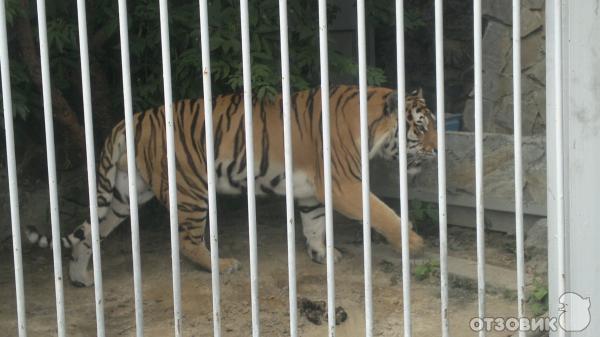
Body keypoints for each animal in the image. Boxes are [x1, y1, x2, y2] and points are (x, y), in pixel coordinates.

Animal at [28, 84, 436, 286]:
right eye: (420, 127)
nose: (436, 150)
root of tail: (130, 120)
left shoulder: (313, 191)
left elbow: (314, 225)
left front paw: (322, 255)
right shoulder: (343, 185)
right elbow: (382, 213)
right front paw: (414, 244)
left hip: (124, 194)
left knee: (89, 233)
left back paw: (81, 278)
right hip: (191, 192)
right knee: (187, 242)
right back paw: (221, 265)